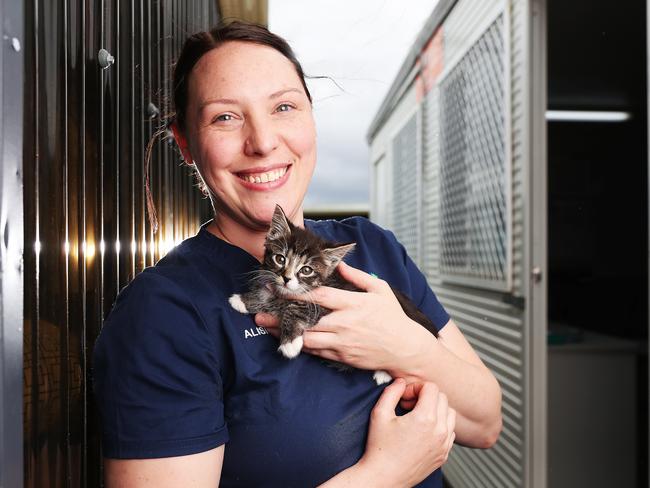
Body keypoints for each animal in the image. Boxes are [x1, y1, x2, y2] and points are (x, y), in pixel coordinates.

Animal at [227, 204, 436, 384]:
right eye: (280, 259)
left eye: (306, 270)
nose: (286, 278)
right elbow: (267, 293)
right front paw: (242, 300)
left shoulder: (326, 301)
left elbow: (296, 308)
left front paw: (290, 342)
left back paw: (383, 372)